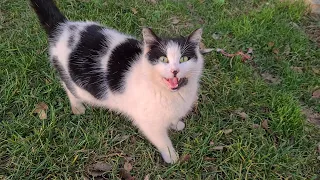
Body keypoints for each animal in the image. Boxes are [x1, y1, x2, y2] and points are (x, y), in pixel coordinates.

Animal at [30, 0, 205, 163]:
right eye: (163, 59)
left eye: (184, 59)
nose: (175, 70)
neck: (171, 94)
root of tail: (63, 27)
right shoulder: (148, 122)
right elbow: (162, 140)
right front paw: (171, 156)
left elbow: (173, 118)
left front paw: (176, 124)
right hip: (74, 82)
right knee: (67, 86)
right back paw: (77, 106)